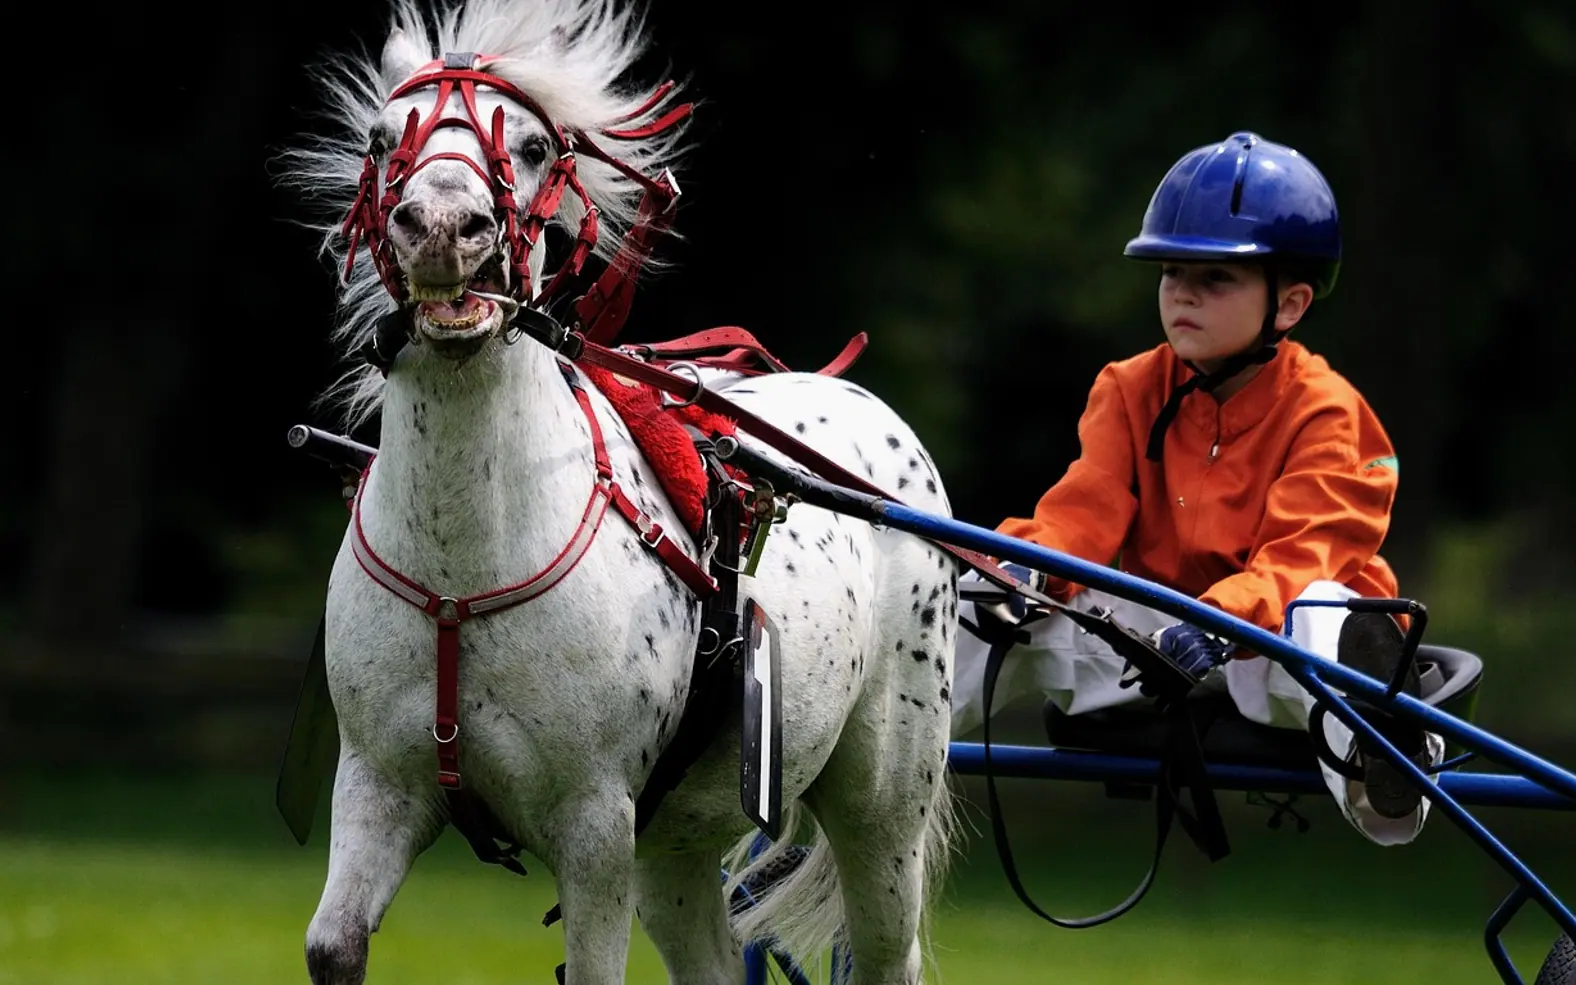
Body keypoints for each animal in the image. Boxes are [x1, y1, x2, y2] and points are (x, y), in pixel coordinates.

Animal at [276, 1, 960, 982]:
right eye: (380, 139)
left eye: (528, 145)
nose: (443, 223)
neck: (461, 569)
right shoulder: (379, 780)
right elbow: (335, 944)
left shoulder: (595, 820)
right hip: (675, 846)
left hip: (883, 807)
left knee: (883, 943)